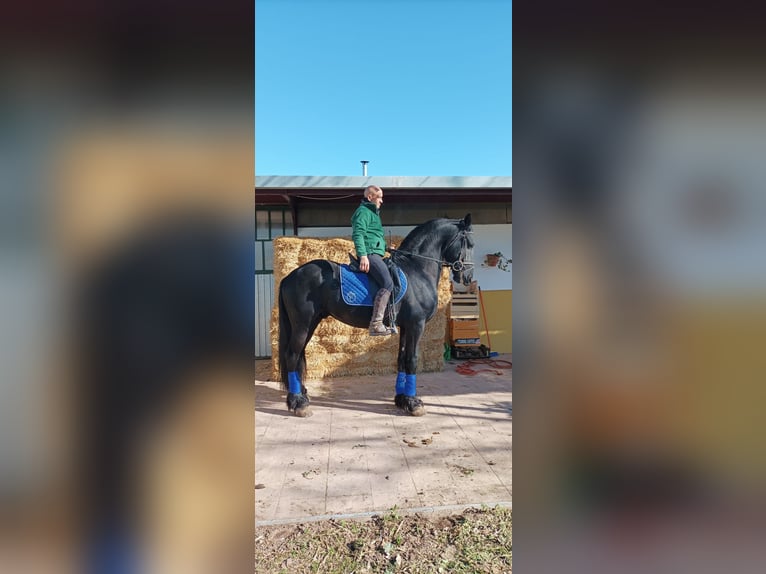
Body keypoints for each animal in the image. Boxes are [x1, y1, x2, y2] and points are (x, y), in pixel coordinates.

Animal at [278, 214, 474, 417]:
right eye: (469, 244)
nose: (468, 277)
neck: (417, 270)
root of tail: (290, 276)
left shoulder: (405, 326)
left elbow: (401, 360)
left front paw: (402, 399)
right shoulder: (416, 325)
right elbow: (412, 360)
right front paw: (413, 403)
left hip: (310, 323)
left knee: (297, 355)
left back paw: (301, 395)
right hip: (303, 324)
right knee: (292, 355)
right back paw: (298, 403)